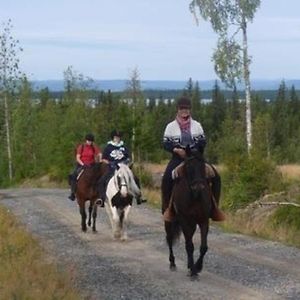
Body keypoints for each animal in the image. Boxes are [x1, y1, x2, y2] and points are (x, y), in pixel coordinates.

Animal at [164, 146, 213, 278]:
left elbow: (203, 247)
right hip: (169, 219)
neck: (194, 196)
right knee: (170, 238)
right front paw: (194, 272)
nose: (198, 187)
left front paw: (197, 267)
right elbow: (190, 246)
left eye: (202, 165)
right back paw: (172, 264)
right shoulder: (184, 219)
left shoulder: (203, 219)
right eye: (189, 166)